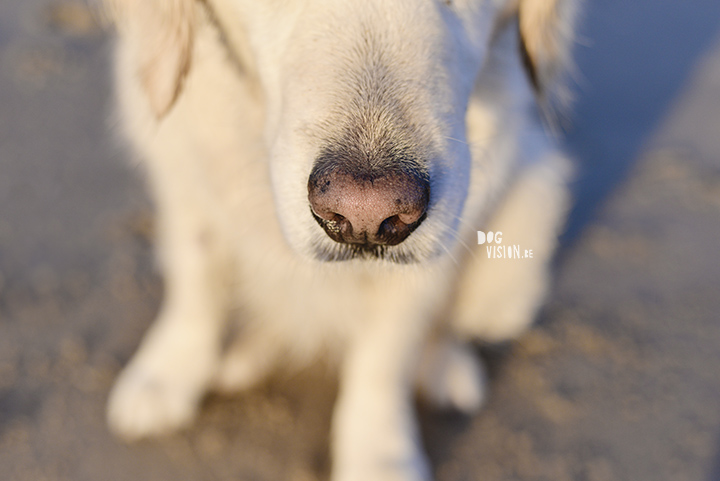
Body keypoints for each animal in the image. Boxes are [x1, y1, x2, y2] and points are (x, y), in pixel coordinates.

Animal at [105, 1, 580, 478]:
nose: (365, 213)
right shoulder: (184, 182)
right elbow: (195, 284)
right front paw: (166, 372)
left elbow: (385, 359)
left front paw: (380, 457)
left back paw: (446, 366)